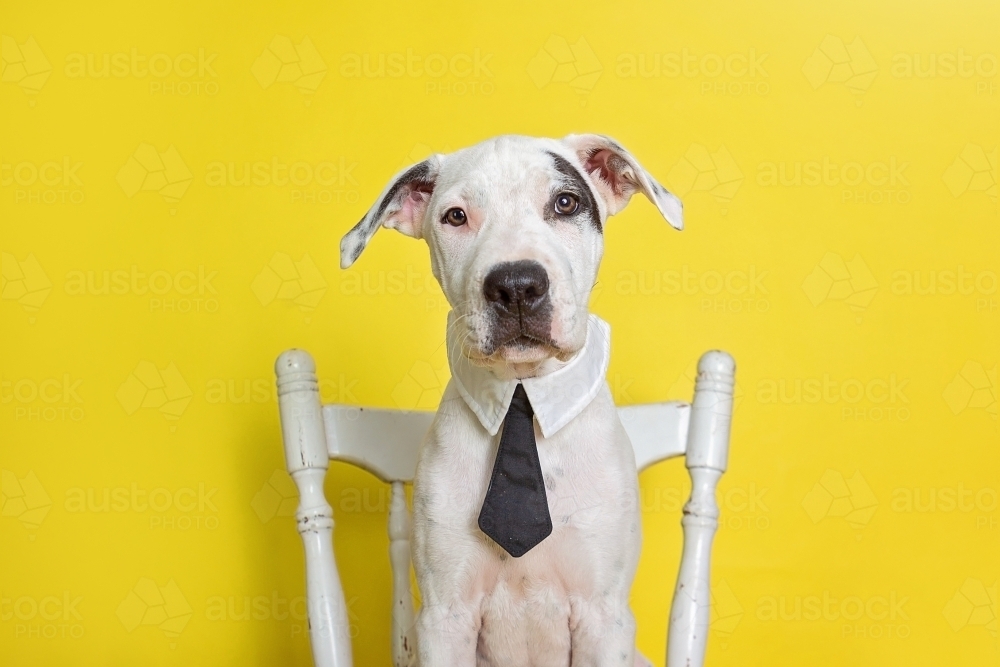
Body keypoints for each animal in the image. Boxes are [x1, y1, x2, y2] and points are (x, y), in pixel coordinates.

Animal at [340, 136, 684, 667]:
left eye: (565, 203)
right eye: (456, 216)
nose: (517, 285)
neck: (523, 391)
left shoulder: (602, 614)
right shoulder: (445, 616)